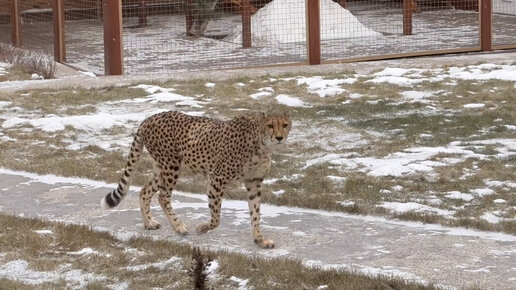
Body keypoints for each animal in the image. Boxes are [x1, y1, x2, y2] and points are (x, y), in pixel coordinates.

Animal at [101, 110, 290, 247]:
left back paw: (149, 223)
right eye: (270, 125)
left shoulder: (254, 182)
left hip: (162, 168)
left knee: (144, 191)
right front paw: (203, 228)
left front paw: (259, 239)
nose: (280, 137)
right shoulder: (216, 178)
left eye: (285, 125)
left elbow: (255, 214)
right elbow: (216, 218)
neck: (262, 145)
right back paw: (179, 227)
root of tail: (150, 118)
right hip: (171, 165)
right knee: (163, 197)